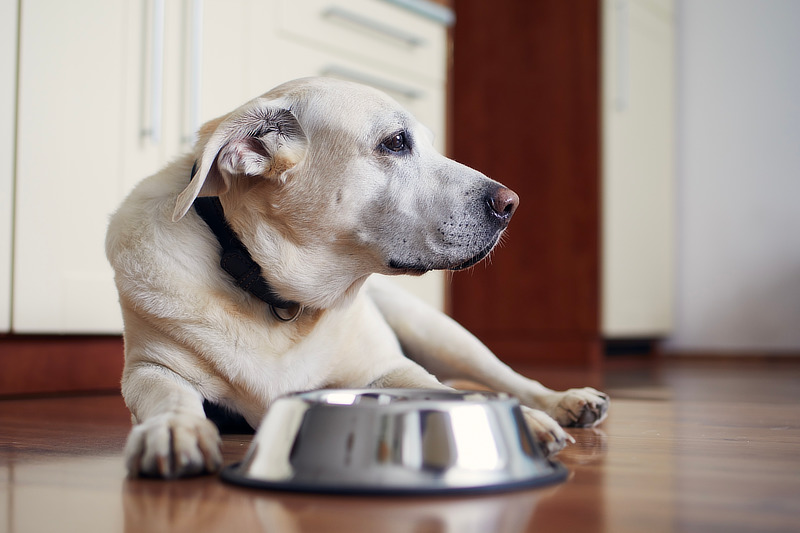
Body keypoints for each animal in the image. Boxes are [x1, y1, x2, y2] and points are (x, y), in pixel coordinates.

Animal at [106, 76, 608, 478]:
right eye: (396, 142)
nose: (511, 204)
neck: (277, 295)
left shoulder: (389, 367)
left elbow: (438, 390)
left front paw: (526, 421)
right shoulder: (150, 369)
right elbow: (169, 396)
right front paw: (175, 428)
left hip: (440, 333)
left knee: (506, 376)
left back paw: (564, 400)